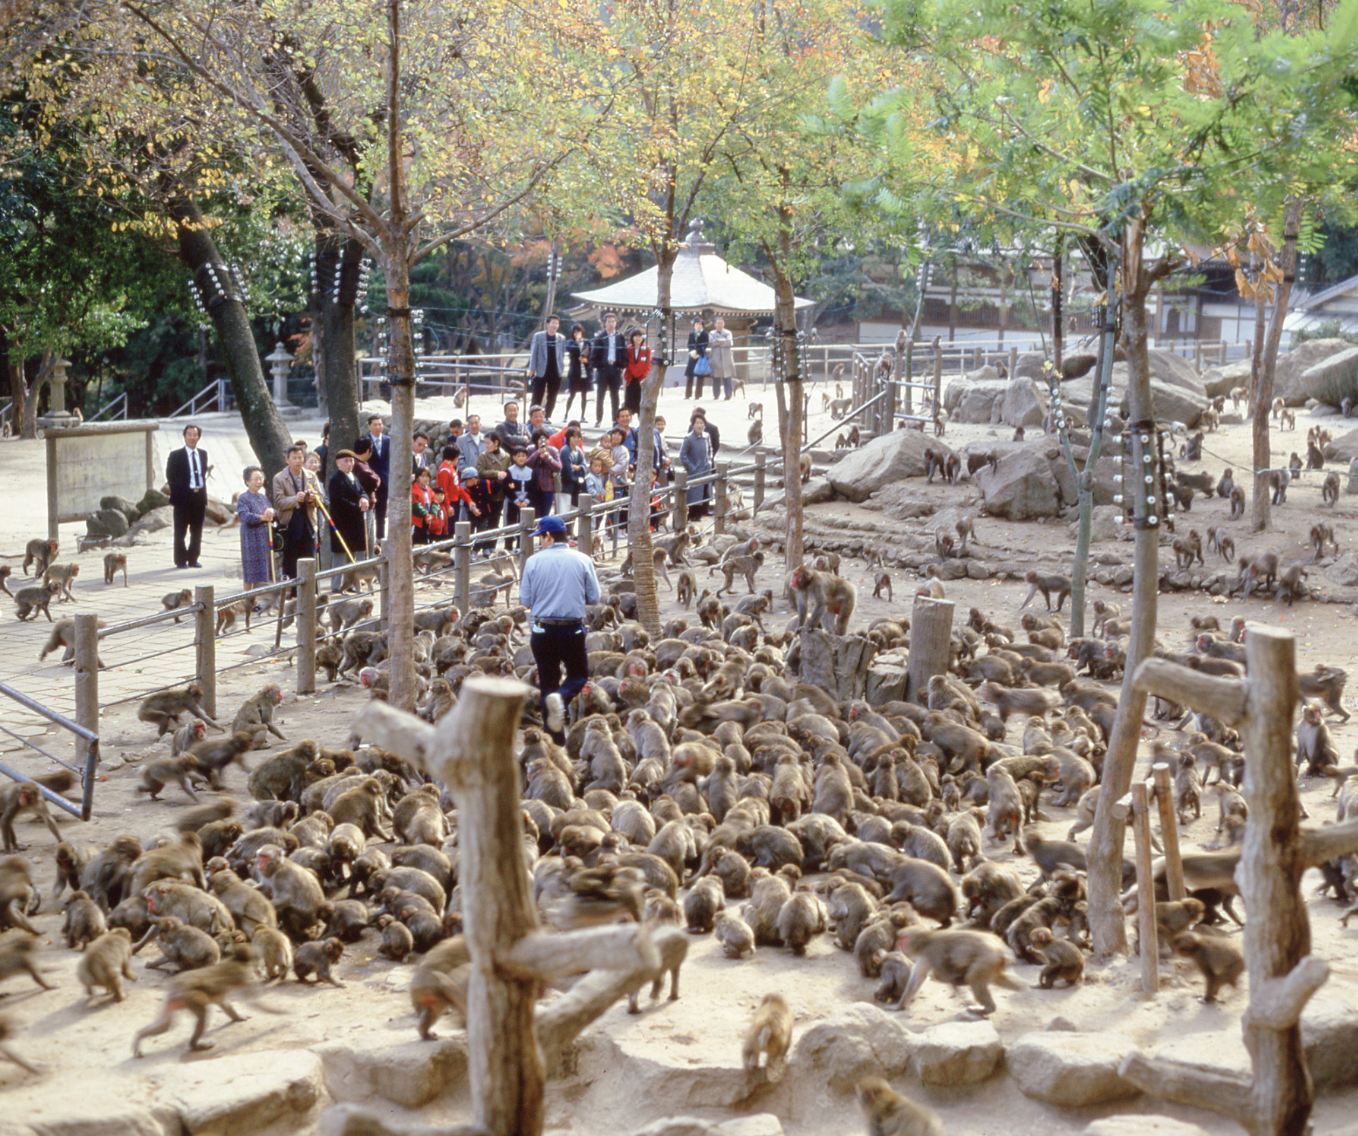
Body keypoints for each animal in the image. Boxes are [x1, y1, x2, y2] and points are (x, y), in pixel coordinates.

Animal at [890, 928, 1021, 1015]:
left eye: (902, 938)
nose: (896, 944)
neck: (925, 941)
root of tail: (1001, 951)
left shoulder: (933, 952)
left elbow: (943, 974)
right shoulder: (924, 957)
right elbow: (918, 977)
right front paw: (899, 1006)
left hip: (987, 960)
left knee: (973, 977)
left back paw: (987, 1008)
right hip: (993, 964)